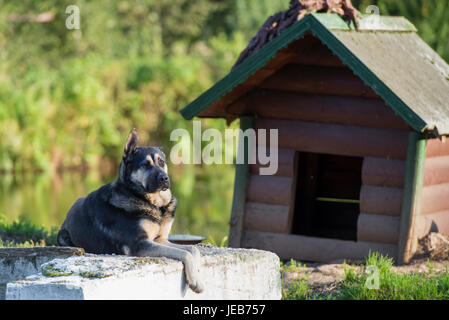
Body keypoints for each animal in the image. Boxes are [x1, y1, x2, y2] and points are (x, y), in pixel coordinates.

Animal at [57, 129, 203, 294]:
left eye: (161, 162)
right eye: (145, 165)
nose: (165, 178)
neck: (151, 203)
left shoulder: (160, 240)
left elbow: (193, 249)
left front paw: (197, 274)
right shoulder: (139, 244)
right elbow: (185, 253)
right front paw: (196, 281)